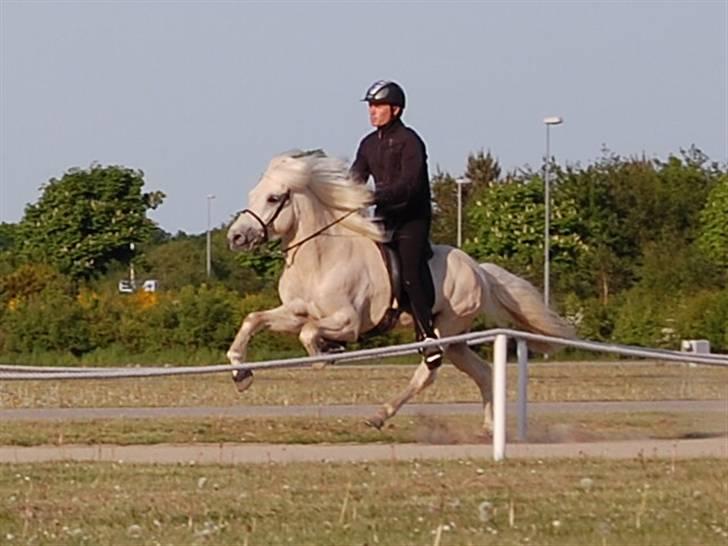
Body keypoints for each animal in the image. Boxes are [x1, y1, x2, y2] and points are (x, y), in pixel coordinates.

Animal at [228, 151, 576, 432]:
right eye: (253, 193)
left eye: (274, 198)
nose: (236, 237)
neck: (320, 258)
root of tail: (478, 269)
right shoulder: (296, 312)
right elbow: (254, 319)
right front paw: (241, 375)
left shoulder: (348, 322)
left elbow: (309, 334)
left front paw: (326, 354)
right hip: (455, 340)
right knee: (483, 372)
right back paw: (490, 427)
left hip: (442, 330)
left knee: (428, 372)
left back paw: (379, 416)